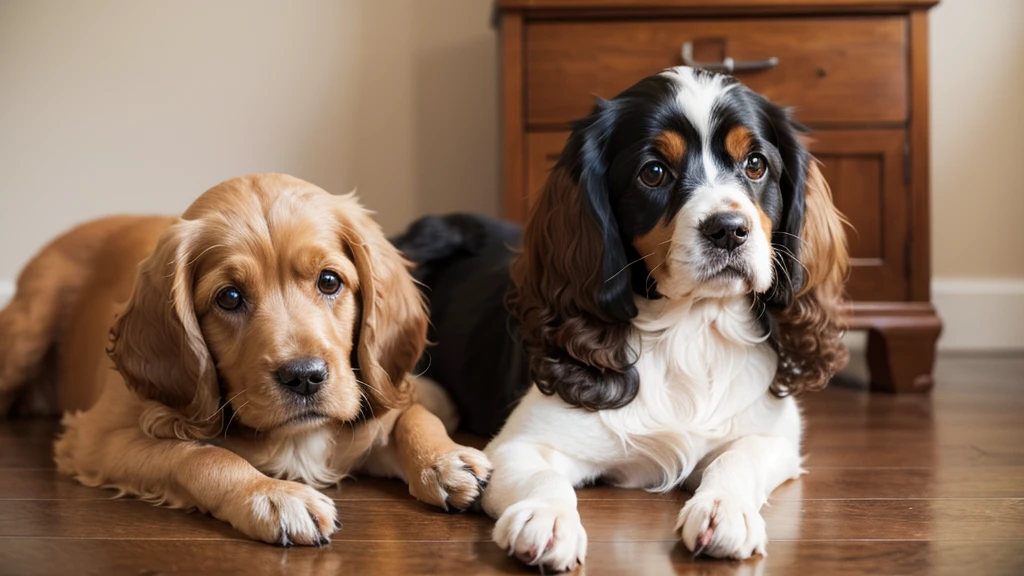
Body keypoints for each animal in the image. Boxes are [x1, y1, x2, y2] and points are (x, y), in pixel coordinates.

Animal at [0, 172, 491, 545]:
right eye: (229, 297)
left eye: (329, 281)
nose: (305, 377)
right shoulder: (96, 438)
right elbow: (198, 455)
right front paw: (273, 495)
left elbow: (413, 415)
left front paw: (446, 459)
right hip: (26, 330)